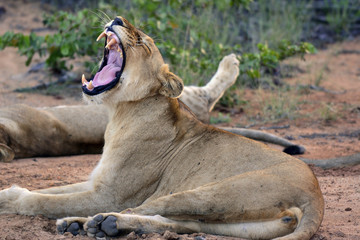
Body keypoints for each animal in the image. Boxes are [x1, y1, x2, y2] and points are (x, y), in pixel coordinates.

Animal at [0, 15, 324, 239]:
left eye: (142, 42)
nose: (117, 19)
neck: (120, 112)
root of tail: (316, 195)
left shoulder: (110, 194)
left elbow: (44, 201)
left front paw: (13, 198)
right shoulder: (95, 182)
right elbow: (54, 190)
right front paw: (9, 191)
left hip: (207, 194)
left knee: (141, 210)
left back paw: (86, 224)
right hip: (238, 224)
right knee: (179, 224)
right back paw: (102, 225)